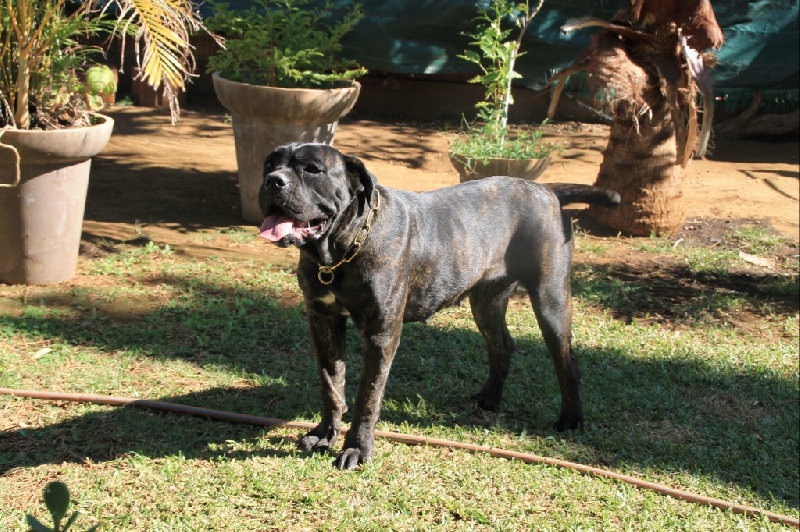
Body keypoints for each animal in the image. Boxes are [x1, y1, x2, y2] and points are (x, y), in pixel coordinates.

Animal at [260, 142, 620, 470]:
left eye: (312, 169)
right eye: (270, 164)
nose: (273, 181)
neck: (339, 253)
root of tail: (546, 189)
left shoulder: (381, 334)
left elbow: (367, 397)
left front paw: (357, 450)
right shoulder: (323, 320)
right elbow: (331, 384)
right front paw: (324, 434)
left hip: (550, 298)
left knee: (567, 360)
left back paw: (571, 419)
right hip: (487, 300)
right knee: (502, 344)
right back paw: (489, 398)